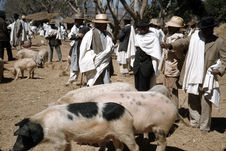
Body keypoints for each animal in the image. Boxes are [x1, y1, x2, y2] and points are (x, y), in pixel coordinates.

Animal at [10, 101, 139, 151]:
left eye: (22, 136)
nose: (12, 149)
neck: (43, 126)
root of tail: (128, 113)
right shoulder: (66, 138)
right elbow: (68, 147)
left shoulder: (58, 139)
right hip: (116, 135)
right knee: (119, 147)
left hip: (125, 131)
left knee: (135, 147)